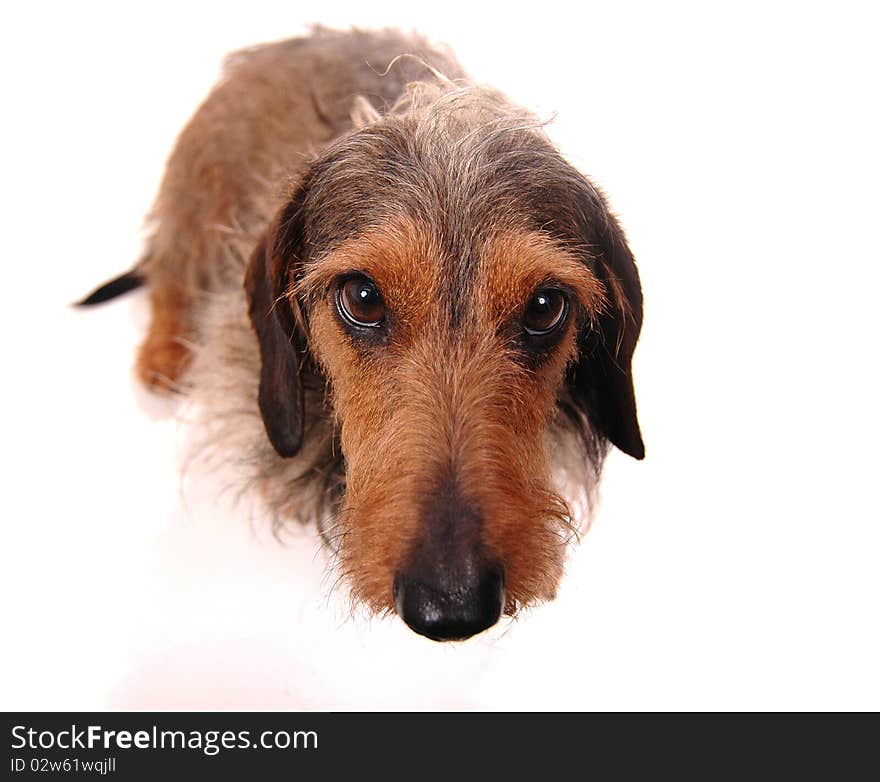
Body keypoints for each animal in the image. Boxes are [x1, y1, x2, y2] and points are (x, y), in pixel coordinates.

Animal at [81, 29, 648, 644]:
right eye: (362, 298)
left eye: (546, 307)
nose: (453, 605)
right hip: (195, 202)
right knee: (169, 271)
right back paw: (162, 354)